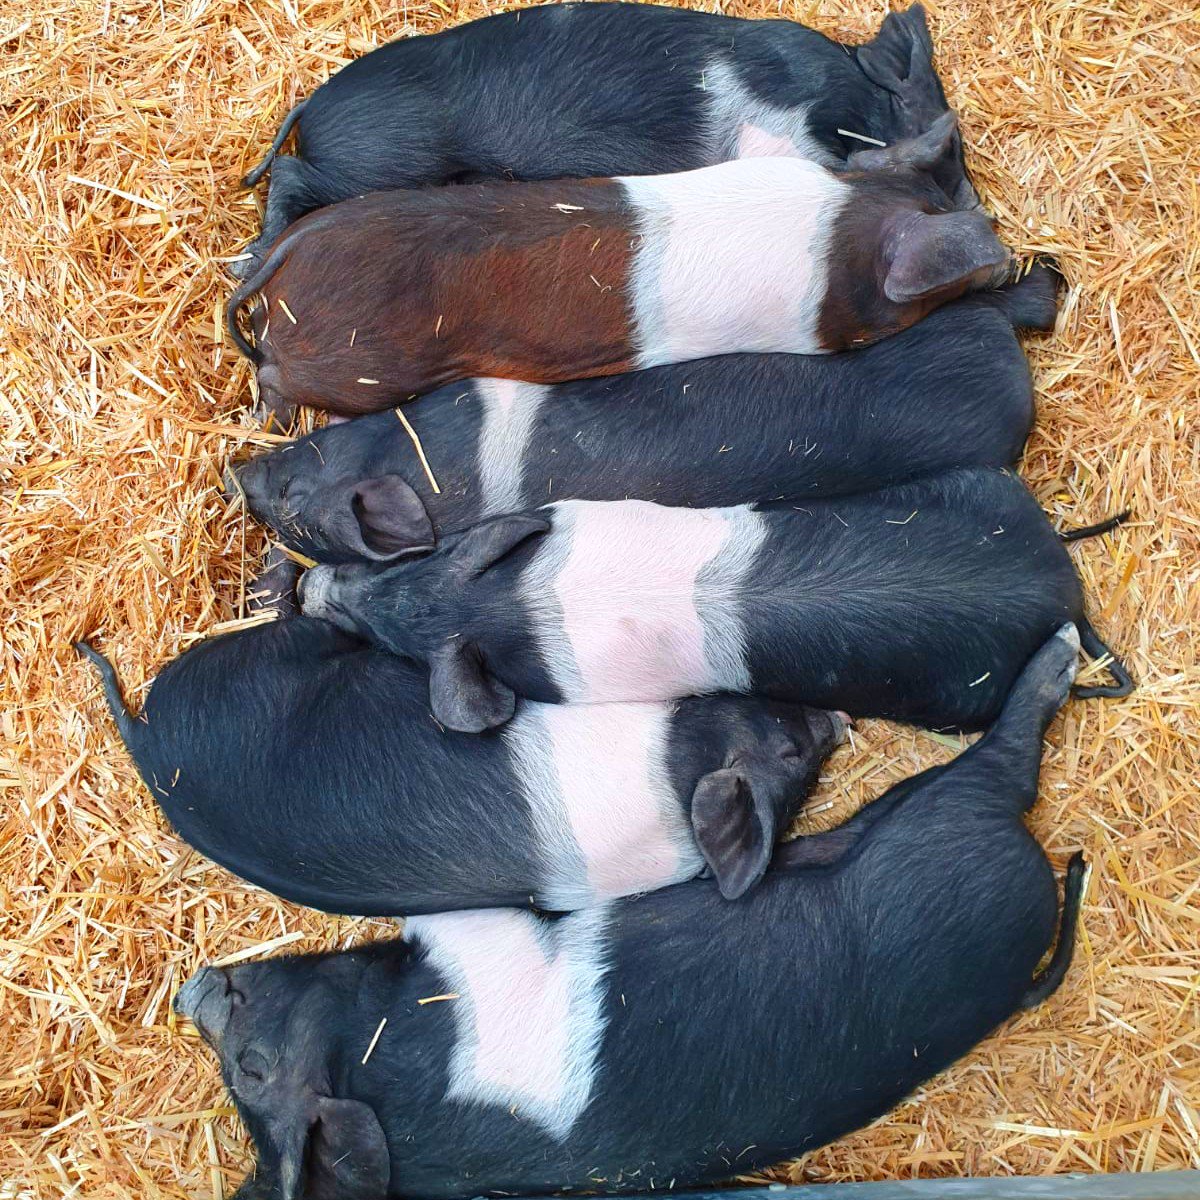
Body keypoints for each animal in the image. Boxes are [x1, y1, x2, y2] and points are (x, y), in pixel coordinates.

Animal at [175, 625, 1087, 1200]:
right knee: (1007, 755)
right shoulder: (479, 949)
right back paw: (1060, 652)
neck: (381, 1056)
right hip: (944, 811)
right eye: (249, 1071)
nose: (194, 990)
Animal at [239, 3, 977, 275]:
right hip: (386, 160)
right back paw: (250, 258)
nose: (973, 203)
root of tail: (312, 102)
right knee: (295, 179)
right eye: (944, 137)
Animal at [299, 467, 1134, 734]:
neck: (505, 608)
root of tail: (1060, 586)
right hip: (980, 485)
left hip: (959, 694)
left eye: (398, 644)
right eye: (431, 556)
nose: (313, 587)